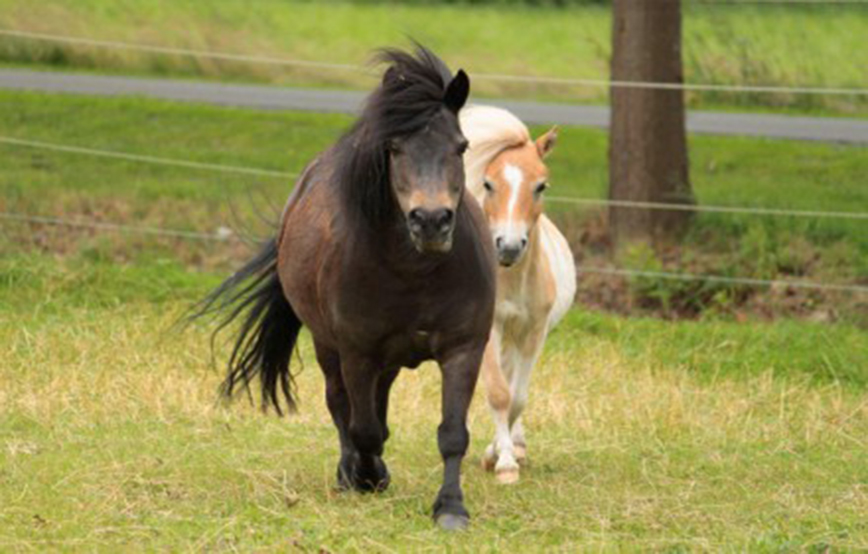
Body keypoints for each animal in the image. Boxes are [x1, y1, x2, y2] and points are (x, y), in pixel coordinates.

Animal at [194, 46, 498, 528]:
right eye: (393, 148)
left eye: (461, 146)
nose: (431, 221)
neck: (416, 272)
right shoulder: (358, 353)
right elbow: (364, 428)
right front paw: (366, 475)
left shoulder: (463, 349)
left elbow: (452, 433)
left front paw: (450, 508)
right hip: (329, 347)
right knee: (341, 405)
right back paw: (350, 472)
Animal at [462, 103, 576, 484]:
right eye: (488, 183)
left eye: (541, 186)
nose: (509, 247)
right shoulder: (489, 330)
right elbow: (498, 393)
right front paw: (504, 465)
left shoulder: (534, 332)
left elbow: (516, 397)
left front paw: (501, 453)